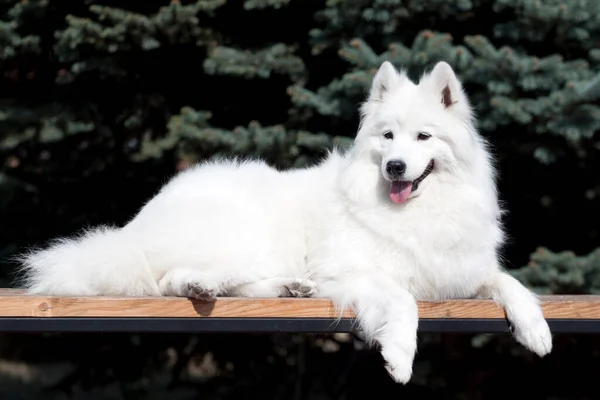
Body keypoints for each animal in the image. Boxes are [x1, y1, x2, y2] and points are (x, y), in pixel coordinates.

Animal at [17, 61, 552, 382]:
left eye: (423, 137)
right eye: (387, 137)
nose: (396, 167)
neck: (416, 210)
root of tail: (137, 225)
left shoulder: (460, 269)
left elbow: (511, 284)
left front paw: (537, 331)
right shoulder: (353, 271)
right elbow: (403, 300)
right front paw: (400, 357)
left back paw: (288, 288)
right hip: (245, 233)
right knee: (172, 279)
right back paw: (202, 286)